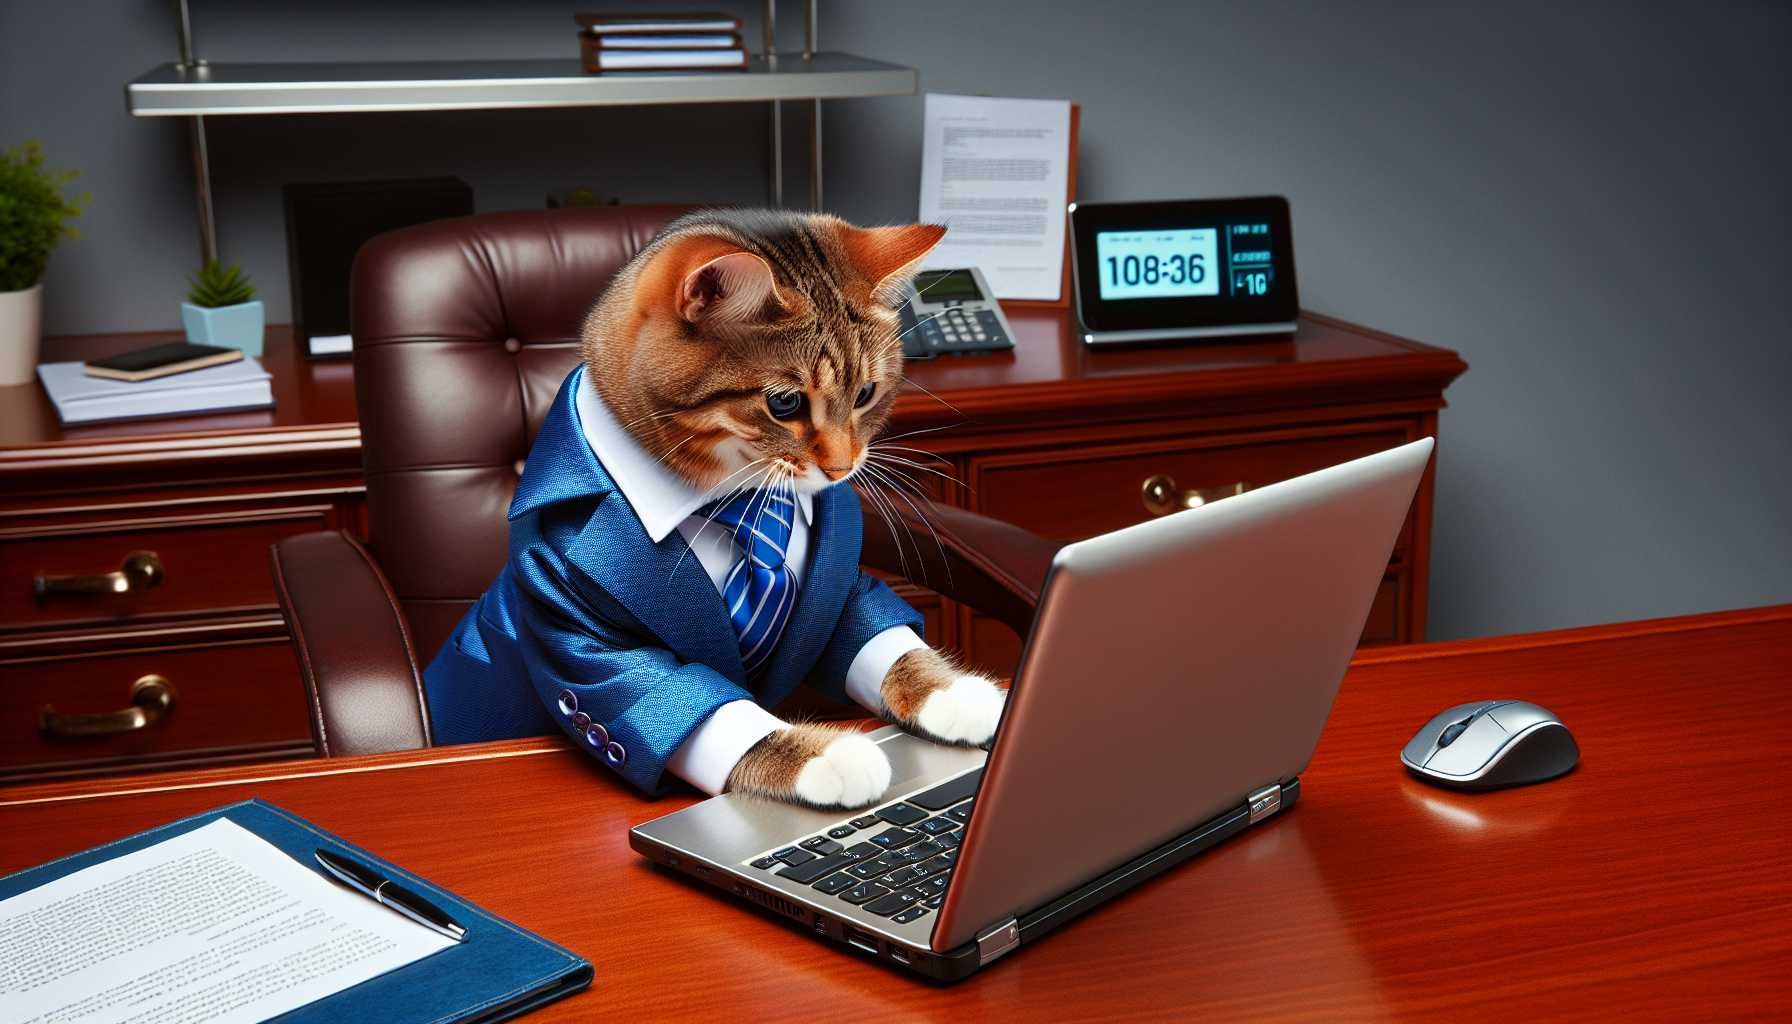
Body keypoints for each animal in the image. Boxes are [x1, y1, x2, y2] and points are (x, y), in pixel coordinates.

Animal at [573, 210, 1010, 810]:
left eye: (867, 393)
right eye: (784, 403)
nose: (843, 468)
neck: (733, 491)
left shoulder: (840, 589)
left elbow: (881, 638)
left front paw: (954, 694)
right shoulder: (584, 631)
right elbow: (669, 697)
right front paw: (826, 756)